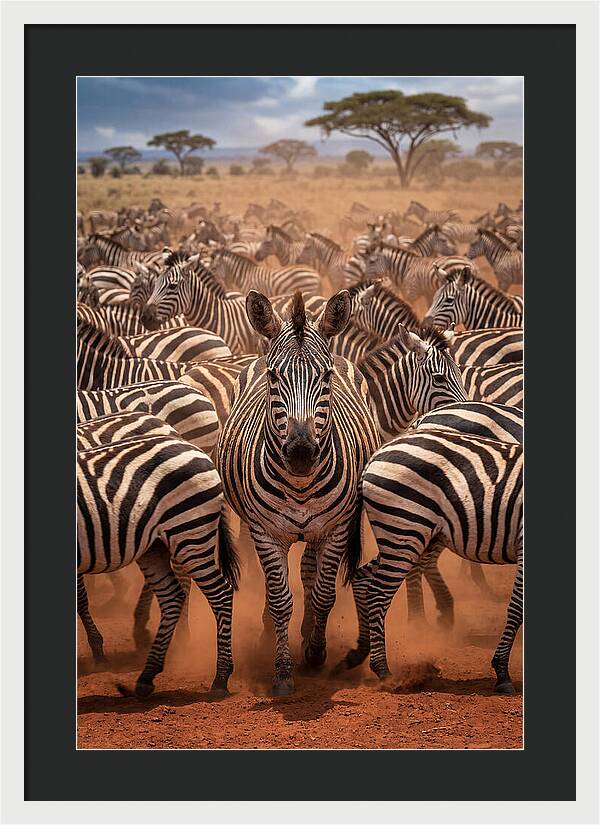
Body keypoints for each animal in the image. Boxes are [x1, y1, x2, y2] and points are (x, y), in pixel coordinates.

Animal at [77, 428, 239, 697]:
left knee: (221, 593)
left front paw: (98, 651)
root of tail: (197, 450)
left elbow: (80, 598)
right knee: (172, 596)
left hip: (189, 532)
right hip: (155, 546)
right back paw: (147, 675)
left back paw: (221, 678)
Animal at [217, 290, 380, 694]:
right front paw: (282, 670)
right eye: (274, 377)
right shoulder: (265, 532)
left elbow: (323, 593)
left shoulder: (337, 528)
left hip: (322, 529)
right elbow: (279, 599)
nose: (302, 453)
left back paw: (308, 633)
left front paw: (315, 653)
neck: (301, 485)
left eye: (326, 376)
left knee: (309, 569)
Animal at [342, 429, 523, 694]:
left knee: (362, 578)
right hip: (404, 530)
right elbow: (517, 608)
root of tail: (377, 454)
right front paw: (502, 672)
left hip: (401, 536)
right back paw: (383, 671)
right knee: (377, 593)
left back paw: (359, 652)